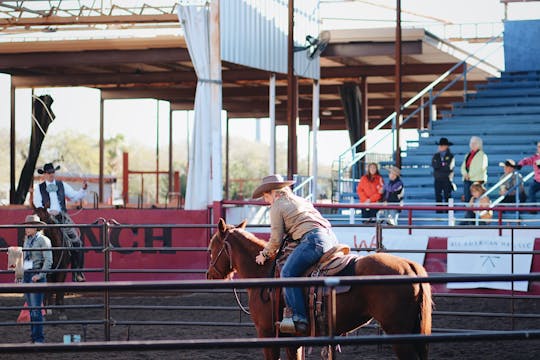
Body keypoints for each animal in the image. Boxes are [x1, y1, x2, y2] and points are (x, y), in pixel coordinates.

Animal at [207, 219, 434, 360]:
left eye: (211, 248)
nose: (209, 275)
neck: (264, 272)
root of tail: (409, 266)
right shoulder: (292, 339)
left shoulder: (267, 334)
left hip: (400, 334)